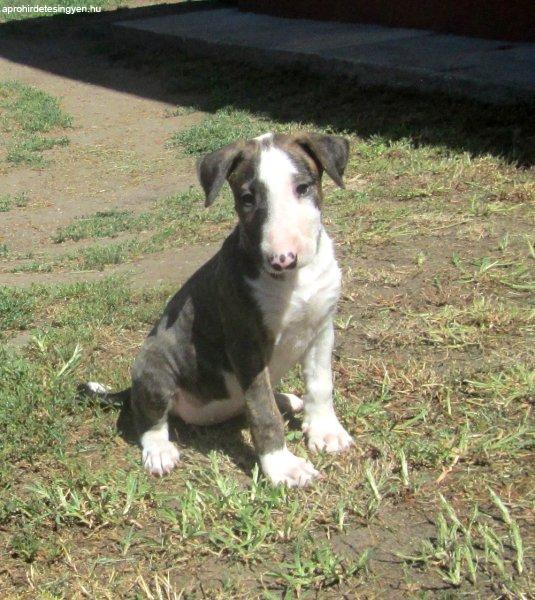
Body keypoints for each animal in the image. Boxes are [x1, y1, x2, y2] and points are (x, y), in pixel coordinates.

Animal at [87, 132, 356, 488]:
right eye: (247, 198)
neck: (295, 282)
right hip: (154, 363)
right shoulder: (246, 346)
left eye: (303, 187)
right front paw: (282, 466)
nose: (282, 260)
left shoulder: (321, 328)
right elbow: (262, 411)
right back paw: (159, 450)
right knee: (149, 417)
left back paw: (287, 399)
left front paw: (326, 432)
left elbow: (320, 384)